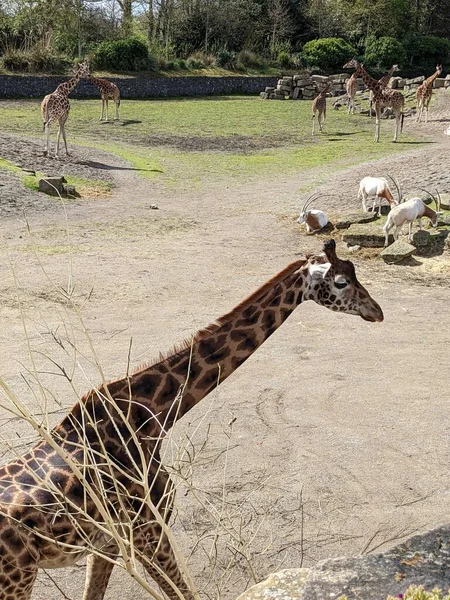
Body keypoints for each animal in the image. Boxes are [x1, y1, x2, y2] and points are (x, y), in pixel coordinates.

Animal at [0, 239, 384, 600]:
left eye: (355, 274)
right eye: (340, 282)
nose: (377, 311)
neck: (153, 415)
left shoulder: (111, 540)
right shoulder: (147, 529)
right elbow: (184, 592)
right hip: (16, 578)